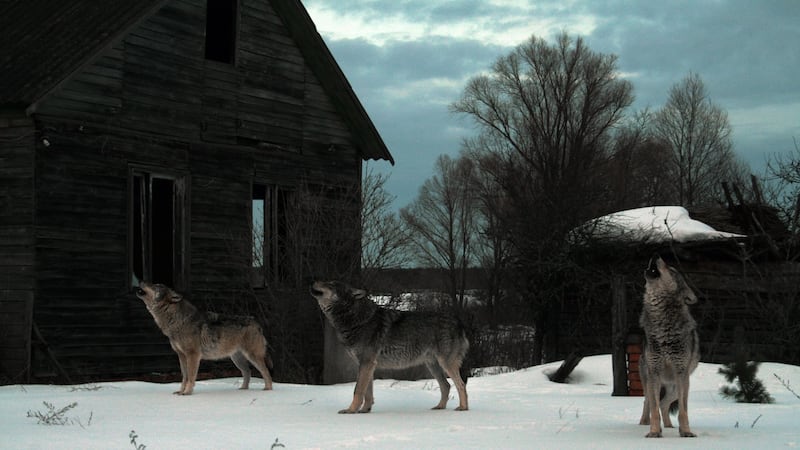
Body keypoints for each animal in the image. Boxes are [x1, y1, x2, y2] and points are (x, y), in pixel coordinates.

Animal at [136, 282, 273, 395]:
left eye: (156, 286)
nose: (141, 281)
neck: (177, 320)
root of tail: (256, 323)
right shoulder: (181, 355)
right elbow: (184, 376)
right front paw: (181, 392)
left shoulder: (193, 355)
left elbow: (191, 377)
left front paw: (187, 393)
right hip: (237, 359)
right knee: (247, 372)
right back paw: (243, 389)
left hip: (253, 357)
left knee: (266, 372)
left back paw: (267, 390)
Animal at [310, 280, 470, 413]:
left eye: (331, 284)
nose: (314, 281)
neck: (357, 319)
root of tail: (459, 322)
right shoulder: (368, 365)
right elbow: (368, 393)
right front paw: (365, 410)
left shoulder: (366, 363)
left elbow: (358, 391)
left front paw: (350, 410)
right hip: (433, 366)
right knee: (446, 386)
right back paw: (439, 407)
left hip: (446, 364)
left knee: (461, 385)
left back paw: (463, 408)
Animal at [638, 256, 700, 438]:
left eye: (671, 270)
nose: (656, 255)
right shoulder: (655, 372)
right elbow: (654, 409)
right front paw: (653, 433)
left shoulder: (681, 374)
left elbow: (683, 411)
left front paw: (686, 432)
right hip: (650, 381)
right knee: (648, 402)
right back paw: (644, 423)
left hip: (676, 387)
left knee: (664, 404)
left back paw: (670, 426)